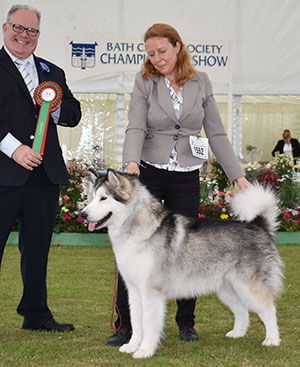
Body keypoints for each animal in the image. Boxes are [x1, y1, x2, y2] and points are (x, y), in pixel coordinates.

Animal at [81, 170, 284, 360]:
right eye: (91, 198)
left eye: (103, 198)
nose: (82, 214)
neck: (140, 230)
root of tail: (259, 225)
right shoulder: (134, 290)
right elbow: (137, 323)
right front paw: (132, 345)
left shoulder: (151, 292)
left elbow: (149, 325)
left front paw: (145, 350)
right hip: (227, 289)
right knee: (243, 310)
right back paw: (238, 333)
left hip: (249, 287)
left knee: (269, 310)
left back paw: (272, 339)